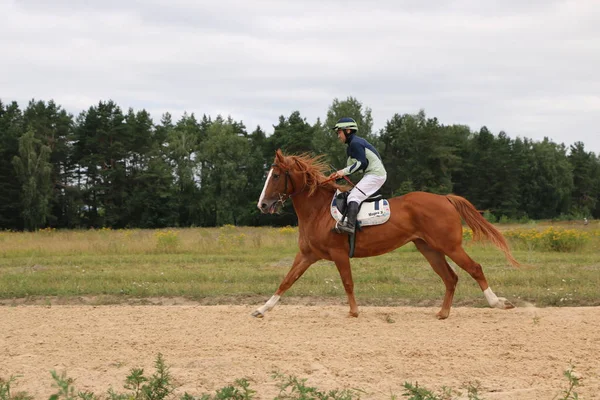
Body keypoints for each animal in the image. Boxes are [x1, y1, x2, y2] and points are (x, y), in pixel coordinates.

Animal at [255, 149, 516, 318]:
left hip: (450, 246)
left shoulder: (338, 253)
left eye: (276, 176)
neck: (318, 211)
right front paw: (263, 308)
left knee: (474, 268)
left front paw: (354, 311)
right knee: (450, 277)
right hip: (429, 248)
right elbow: (287, 280)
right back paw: (443, 313)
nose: (262, 205)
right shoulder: (307, 255)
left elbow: (347, 282)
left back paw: (497, 303)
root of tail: (445, 198)